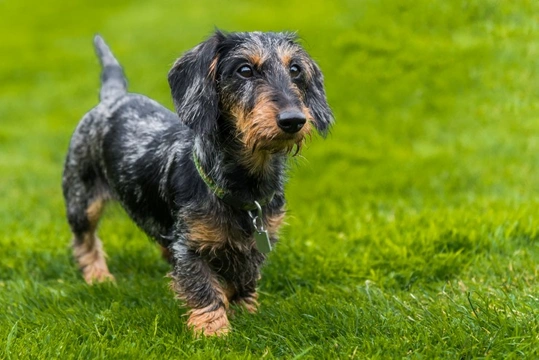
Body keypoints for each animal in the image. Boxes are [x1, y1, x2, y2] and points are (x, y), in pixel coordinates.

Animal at [62, 29, 334, 336]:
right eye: (244, 70)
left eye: (295, 69)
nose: (293, 120)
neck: (245, 185)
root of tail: (114, 97)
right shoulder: (190, 247)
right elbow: (203, 287)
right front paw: (213, 331)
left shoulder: (258, 242)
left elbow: (244, 278)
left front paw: (246, 311)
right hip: (81, 200)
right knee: (85, 242)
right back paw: (99, 277)